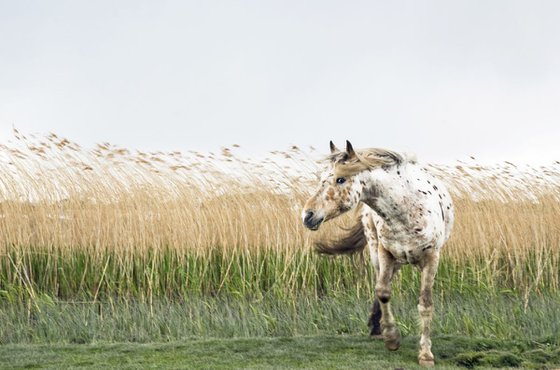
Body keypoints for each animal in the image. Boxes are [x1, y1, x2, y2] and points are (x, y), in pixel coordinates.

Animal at [302, 140, 456, 366]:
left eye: (341, 179)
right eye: (322, 179)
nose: (307, 215)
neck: (405, 210)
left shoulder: (431, 258)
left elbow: (425, 303)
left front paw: (426, 354)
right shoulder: (385, 253)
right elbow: (383, 292)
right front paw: (391, 338)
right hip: (378, 254)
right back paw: (377, 328)